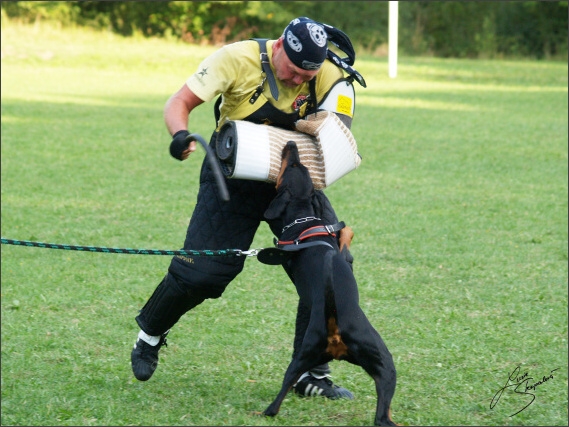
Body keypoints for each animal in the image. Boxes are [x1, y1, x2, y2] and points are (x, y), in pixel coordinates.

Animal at [260, 141, 394, 427]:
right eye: (295, 164)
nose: (291, 143)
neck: (304, 222)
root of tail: (336, 332)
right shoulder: (342, 252)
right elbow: (346, 232)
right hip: (383, 361)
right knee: (383, 417)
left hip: (314, 360)